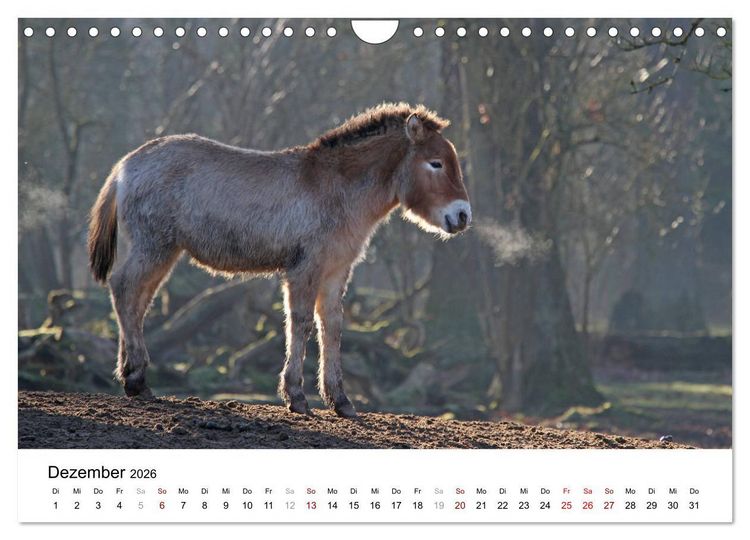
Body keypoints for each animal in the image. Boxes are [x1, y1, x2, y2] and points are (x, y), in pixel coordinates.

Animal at [87, 102, 471, 418]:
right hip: (154, 247)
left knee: (138, 301)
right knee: (124, 290)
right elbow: (299, 324)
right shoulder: (305, 270)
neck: (337, 190)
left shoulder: (335, 273)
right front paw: (296, 397)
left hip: (163, 252)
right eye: (436, 163)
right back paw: (136, 379)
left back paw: (132, 376)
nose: (463, 216)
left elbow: (332, 328)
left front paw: (340, 401)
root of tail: (126, 165)